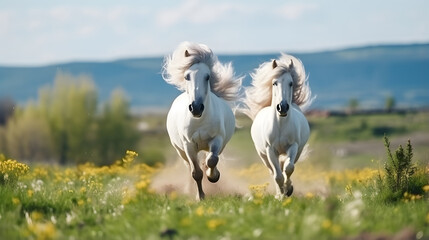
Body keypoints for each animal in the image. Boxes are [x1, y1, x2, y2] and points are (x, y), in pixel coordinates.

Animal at [161, 41, 241, 201]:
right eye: (187, 76)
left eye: (207, 76)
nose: (196, 107)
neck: (200, 120)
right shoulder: (189, 145)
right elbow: (196, 173)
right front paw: (200, 196)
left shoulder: (216, 140)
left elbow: (212, 160)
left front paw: (213, 176)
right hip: (181, 151)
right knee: (189, 167)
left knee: (209, 158)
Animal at [244, 54, 310, 199]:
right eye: (274, 83)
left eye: (291, 83)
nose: (282, 107)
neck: (280, 125)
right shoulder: (270, 150)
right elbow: (277, 175)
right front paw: (280, 196)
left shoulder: (293, 146)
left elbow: (288, 168)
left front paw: (288, 189)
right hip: (263, 155)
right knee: (273, 171)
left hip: (298, 151)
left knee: (286, 165)